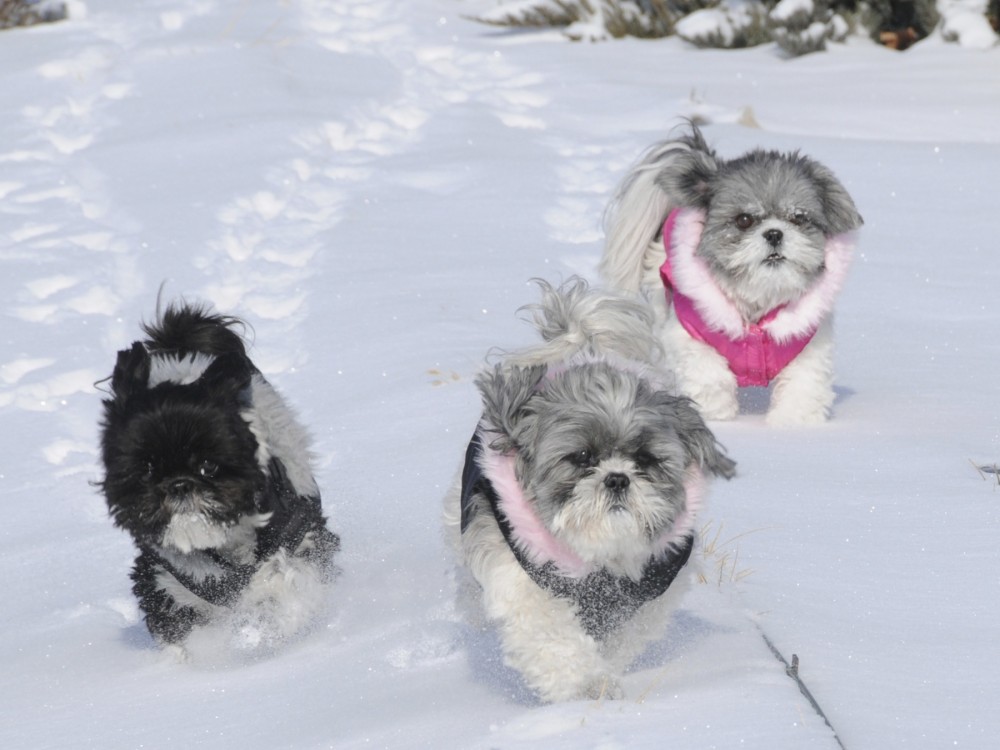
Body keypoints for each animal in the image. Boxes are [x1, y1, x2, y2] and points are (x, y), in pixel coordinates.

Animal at [98, 302, 340, 656]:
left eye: (208, 466)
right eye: (147, 470)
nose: (179, 484)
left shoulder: (296, 534)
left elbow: (283, 582)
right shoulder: (166, 575)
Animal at [446, 278, 736, 704]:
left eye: (645, 458)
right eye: (582, 456)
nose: (617, 478)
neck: (600, 558)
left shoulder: (648, 591)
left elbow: (621, 635)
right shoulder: (521, 573)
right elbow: (551, 635)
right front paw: (585, 684)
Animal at [596, 126, 864, 426]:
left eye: (798, 217)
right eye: (744, 220)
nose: (774, 233)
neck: (758, 301)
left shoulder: (806, 341)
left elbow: (804, 384)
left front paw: (792, 423)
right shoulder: (692, 333)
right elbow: (708, 375)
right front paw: (715, 416)